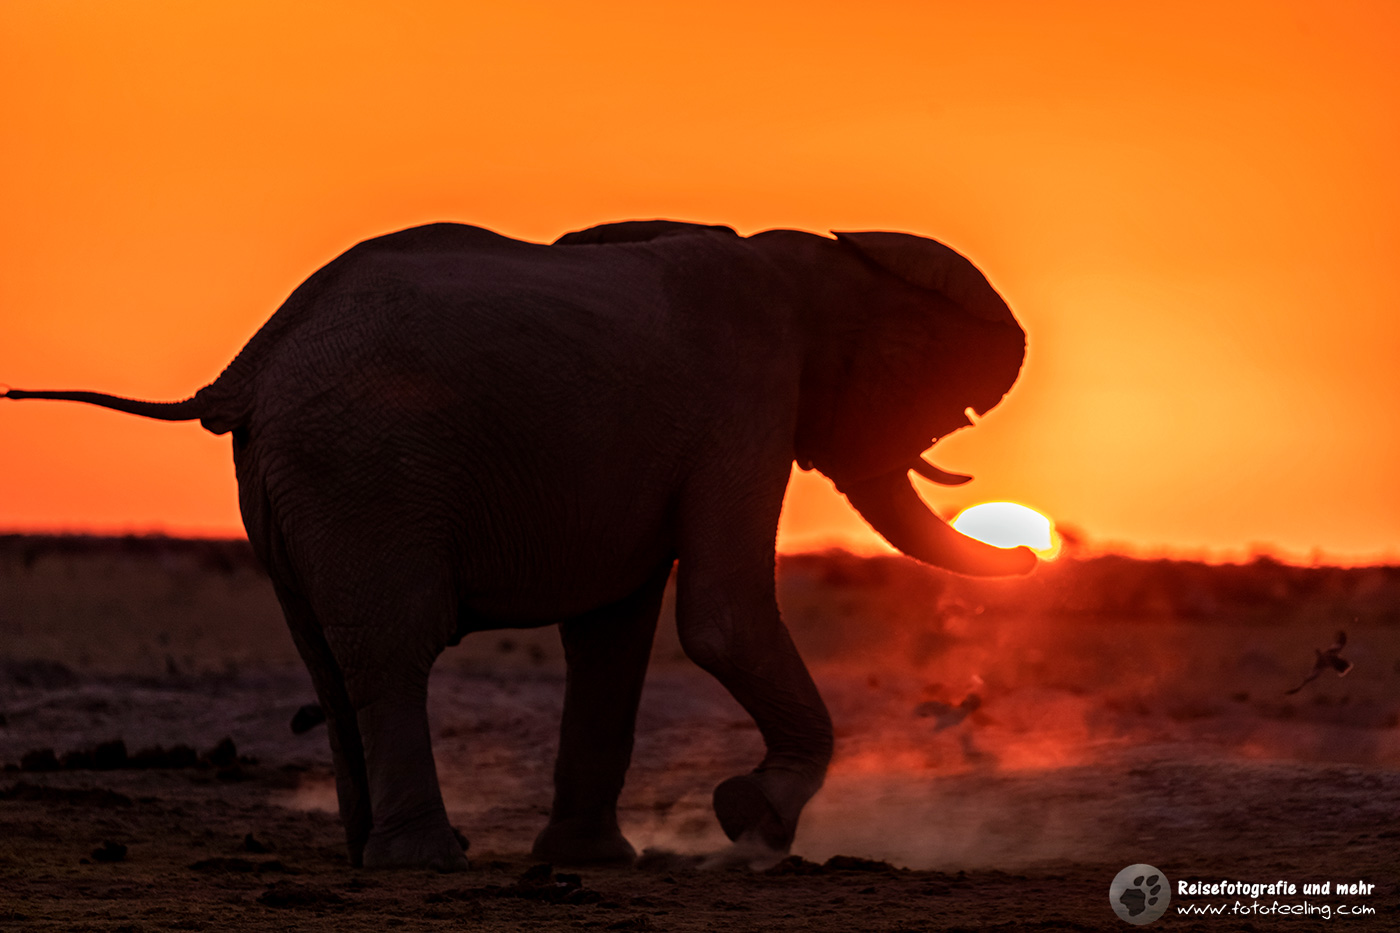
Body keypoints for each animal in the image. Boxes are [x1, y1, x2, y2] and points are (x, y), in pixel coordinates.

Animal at [4, 219, 1036, 871]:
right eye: (940, 417)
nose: (1032, 557)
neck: (808, 256)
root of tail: (248, 368)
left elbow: (614, 638)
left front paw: (600, 860)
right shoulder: (747, 401)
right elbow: (721, 620)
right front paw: (752, 823)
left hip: (286, 486)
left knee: (330, 663)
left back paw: (373, 855)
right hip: (367, 474)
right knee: (391, 650)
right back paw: (423, 862)